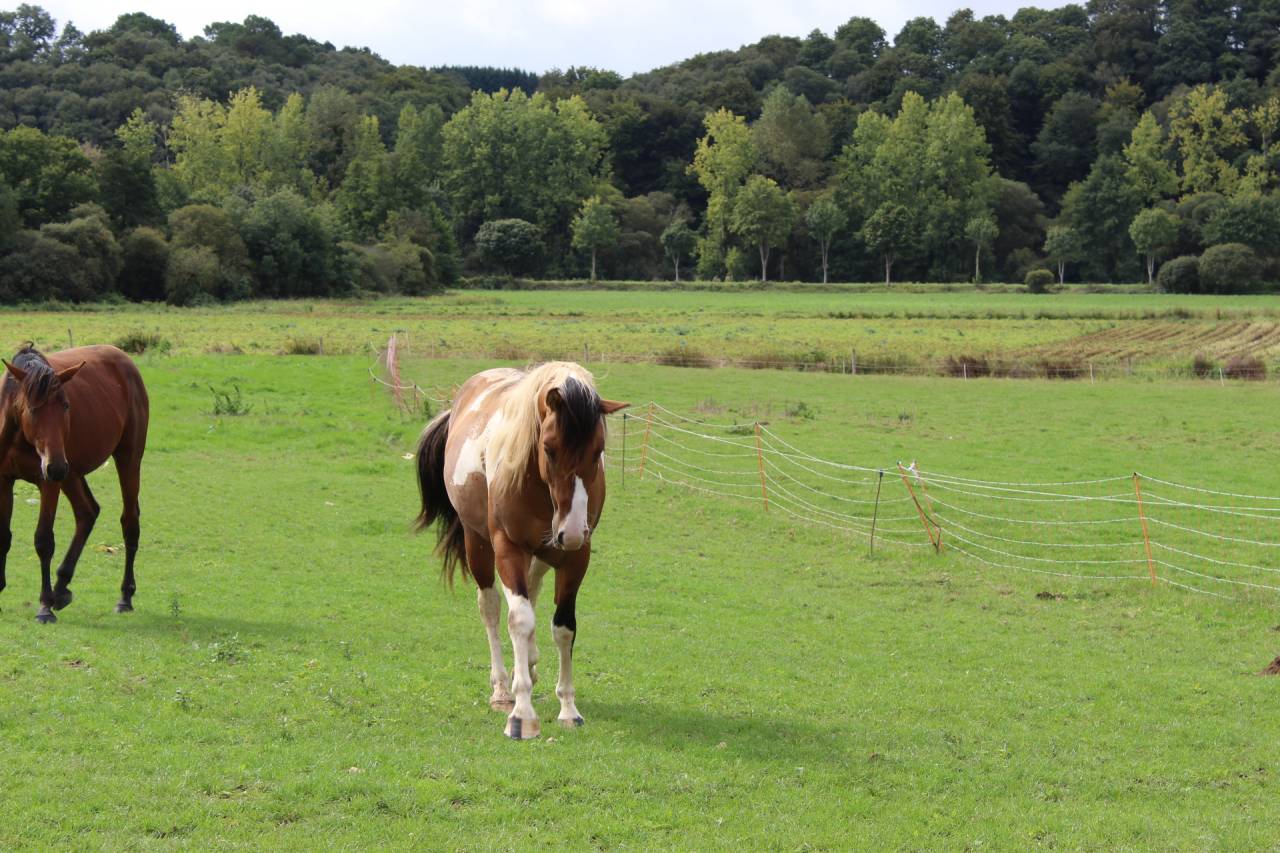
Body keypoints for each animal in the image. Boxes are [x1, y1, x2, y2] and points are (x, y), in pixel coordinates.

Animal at [0, 345, 150, 623]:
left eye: (66, 405)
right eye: (32, 409)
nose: (55, 466)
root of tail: (124, 360)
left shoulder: (48, 483)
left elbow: (44, 541)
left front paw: (44, 607)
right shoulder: (4, 481)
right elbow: (4, 537)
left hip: (125, 459)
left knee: (129, 522)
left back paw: (124, 597)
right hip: (71, 474)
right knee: (87, 512)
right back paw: (61, 588)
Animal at [414, 362, 627, 739]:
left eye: (598, 450)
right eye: (549, 448)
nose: (572, 530)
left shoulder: (576, 556)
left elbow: (563, 626)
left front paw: (568, 708)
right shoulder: (508, 548)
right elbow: (519, 619)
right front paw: (522, 714)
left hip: (543, 553)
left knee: (534, 592)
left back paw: (526, 663)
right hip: (478, 544)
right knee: (491, 607)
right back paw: (502, 688)